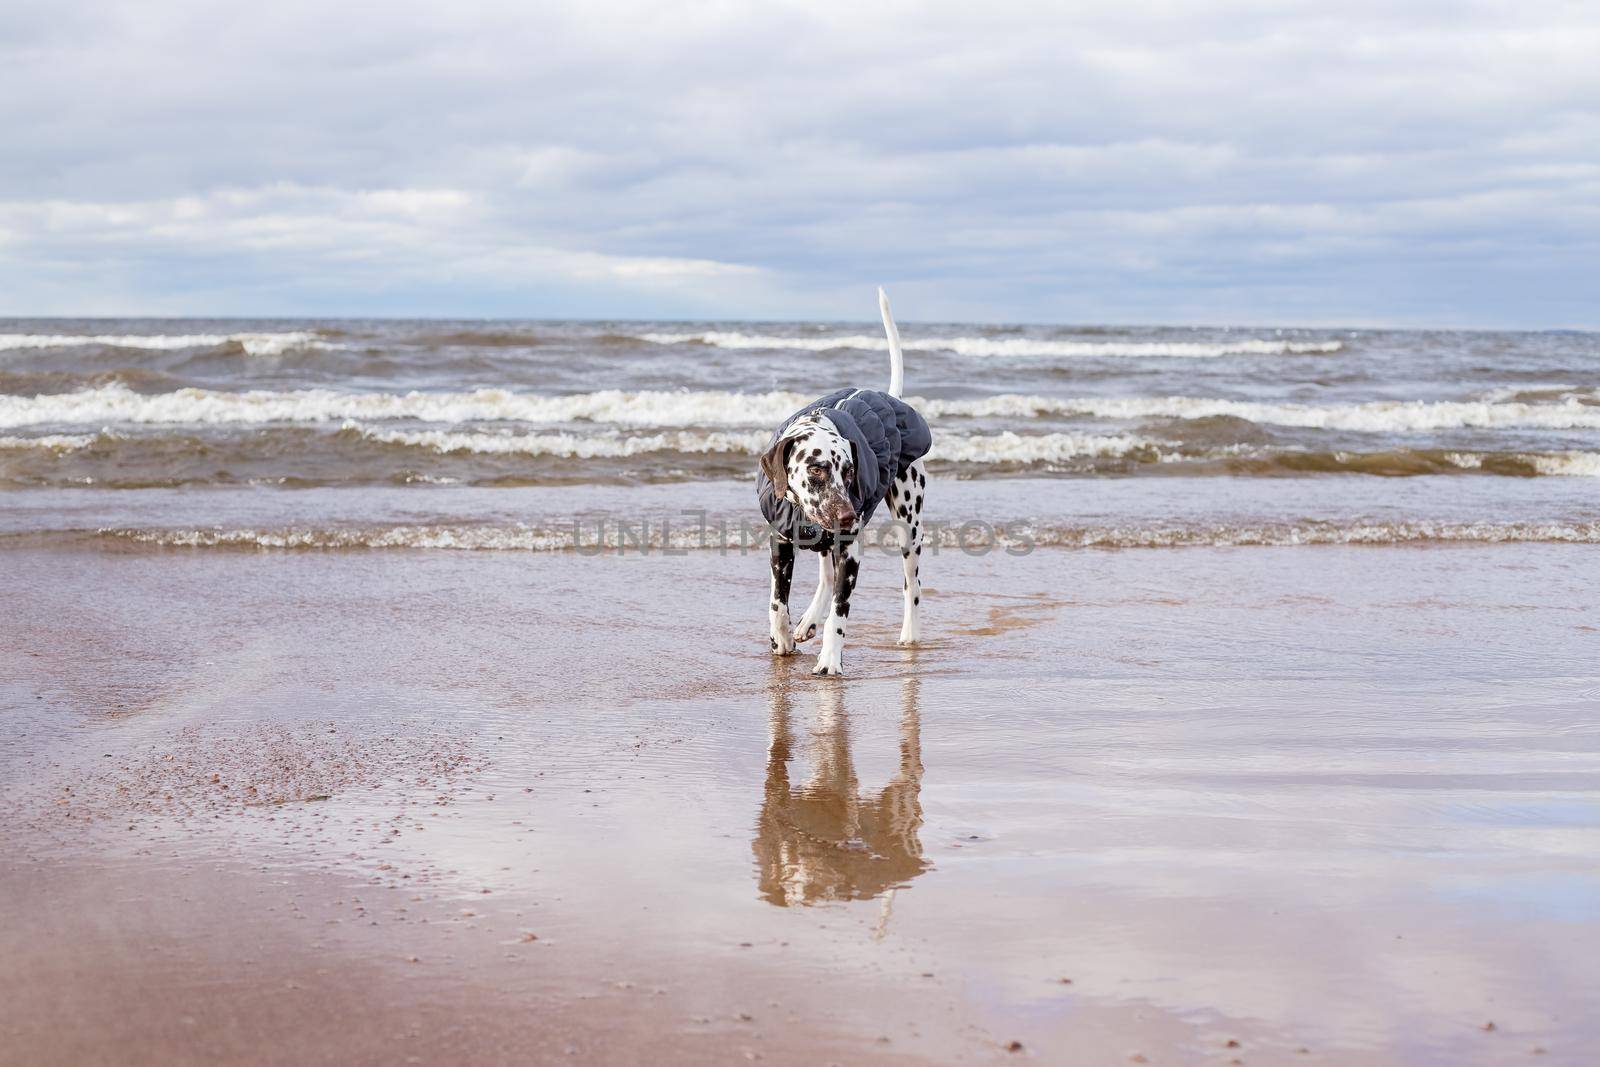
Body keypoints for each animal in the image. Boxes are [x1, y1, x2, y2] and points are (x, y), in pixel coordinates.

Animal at [755, 289, 934, 675]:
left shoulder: (851, 552)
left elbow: (840, 613)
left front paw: (830, 660)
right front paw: (782, 637)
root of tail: (890, 397)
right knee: (824, 577)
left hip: (909, 529)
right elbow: (777, 602)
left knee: (912, 586)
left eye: (851, 471)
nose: (849, 515)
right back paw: (807, 621)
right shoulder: (781, 542)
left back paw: (910, 635)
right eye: (816, 469)